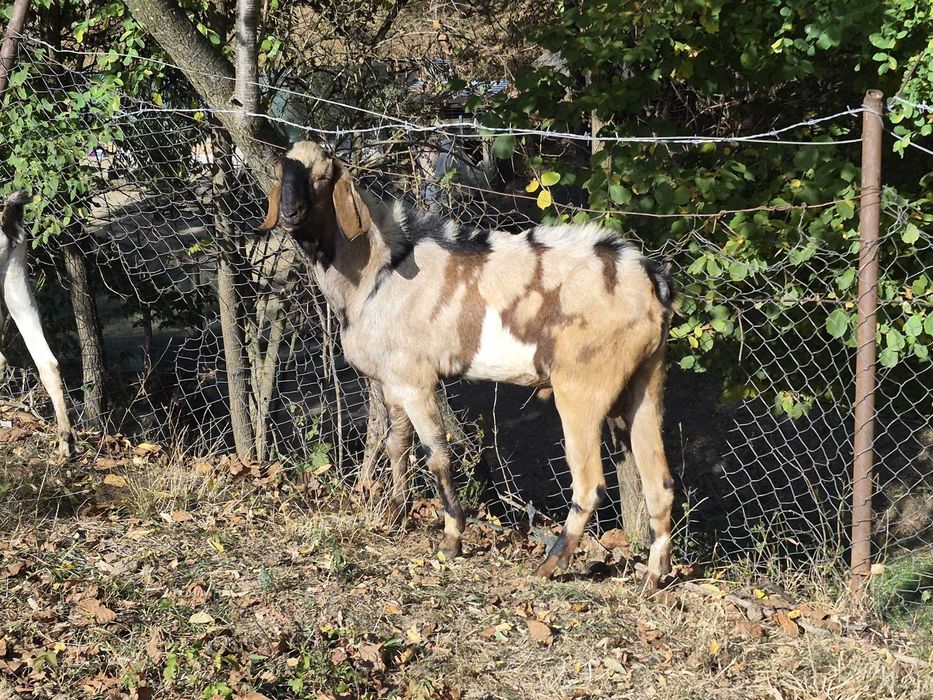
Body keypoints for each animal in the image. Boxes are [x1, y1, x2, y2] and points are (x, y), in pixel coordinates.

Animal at [260, 142, 675, 591]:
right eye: (281, 172)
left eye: (323, 176)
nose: (290, 213)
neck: (379, 269)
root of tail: (651, 280)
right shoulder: (393, 382)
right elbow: (396, 446)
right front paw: (394, 516)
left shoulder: (417, 382)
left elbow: (437, 456)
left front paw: (451, 540)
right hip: (645, 384)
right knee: (660, 482)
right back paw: (655, 579)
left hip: (581, 392)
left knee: (591, 484)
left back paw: (549, 565)